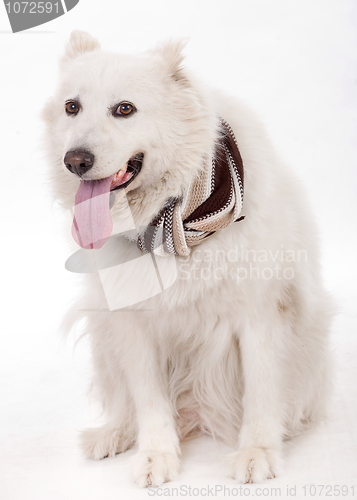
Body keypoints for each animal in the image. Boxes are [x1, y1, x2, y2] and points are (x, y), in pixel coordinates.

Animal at [43, 30, 332, 484]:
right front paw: (156, 455)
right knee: (127, 404)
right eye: (72, 107)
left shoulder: (262, 315)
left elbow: (263, 390)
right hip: (103, 328)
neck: (174, 221)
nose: (75, 161)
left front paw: (257, 451)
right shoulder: (132, 325)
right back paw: (114, 433)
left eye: (124, 109)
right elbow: (149, 400)